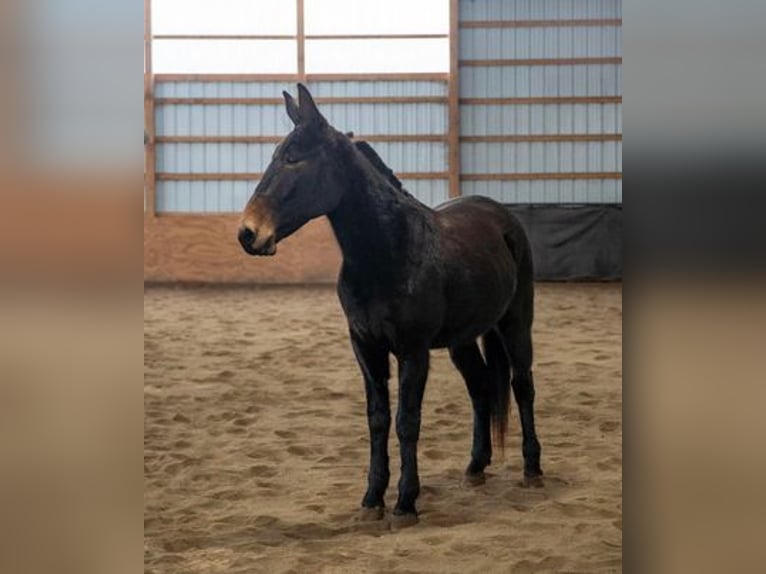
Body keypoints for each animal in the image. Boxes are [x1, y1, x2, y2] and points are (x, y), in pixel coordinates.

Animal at [237, 83, 544, 528]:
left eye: (294, 158)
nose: (248, 233)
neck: (389, 250)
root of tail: (503, 218)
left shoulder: (413, 352)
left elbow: (407, 421)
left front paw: (405, 503)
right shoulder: (366, 347)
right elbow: (378, 420)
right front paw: (371, 500)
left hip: (516, 324)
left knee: (522, 386)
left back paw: (533, 469)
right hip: (462, 341)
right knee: (481, 387)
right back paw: (475, 467)